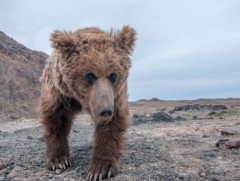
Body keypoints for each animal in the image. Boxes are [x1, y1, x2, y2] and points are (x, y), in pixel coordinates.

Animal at [40, 25, 136, 180]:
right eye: (90, 75)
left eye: (113, 75)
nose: (105, 111)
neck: (79, 98)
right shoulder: (59, 92)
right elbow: (56, 121)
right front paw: (58, 161)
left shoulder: (115, 96)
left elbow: (111, 126)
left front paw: (100, 169)